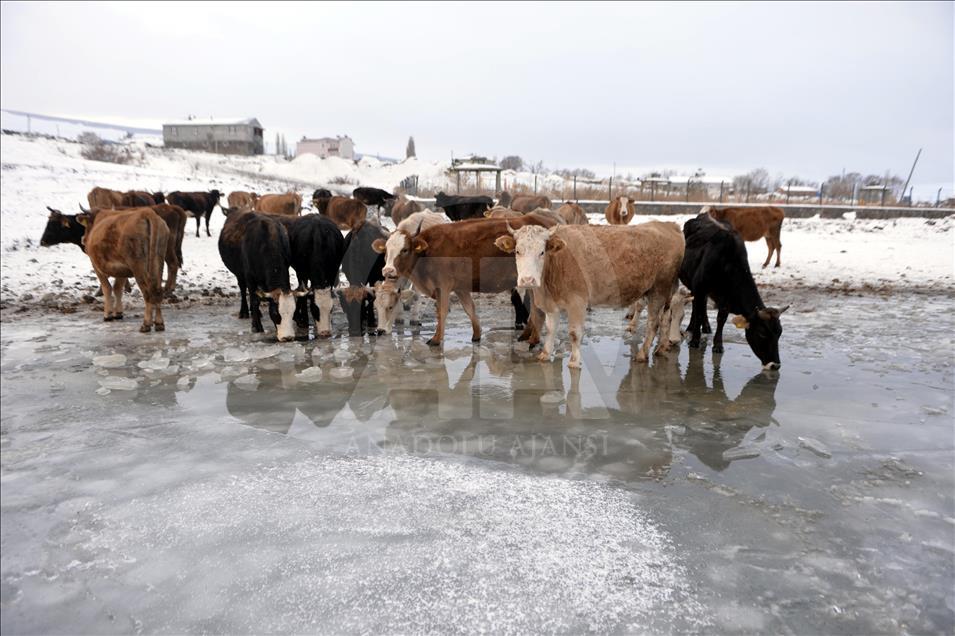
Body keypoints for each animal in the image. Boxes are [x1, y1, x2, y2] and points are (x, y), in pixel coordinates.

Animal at [43, 204, 187, 295]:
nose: (42, 241)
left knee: (173, 264)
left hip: (167, 249)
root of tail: (173, 208)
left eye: (53, 225)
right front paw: (126, 287)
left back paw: (168, 289)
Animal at [217, 210, 305, 341]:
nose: (287, 337)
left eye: (293, 312)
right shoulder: (249, 276)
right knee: (243, 289)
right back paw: (244, 312)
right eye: (276, 313)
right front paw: (256, 326)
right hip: (239, 274)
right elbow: (254, 300)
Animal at [372, 214, 558, 346]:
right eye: (386, 250)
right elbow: (470, 309)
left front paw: (436, 339)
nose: (388, 270)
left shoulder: (443, 286)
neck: (427, 252)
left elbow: (441, 312)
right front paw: (476, 335)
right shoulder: (460, 287)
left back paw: (533, 338)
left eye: (404, 249)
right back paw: (526, 335)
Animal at [494, 221, 684, 368]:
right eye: (517, 251)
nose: (528, 279)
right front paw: (545, 354)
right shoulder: (551, 304)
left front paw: (574, 361)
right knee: (666, 317)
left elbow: (574, 333)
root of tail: (668, 225)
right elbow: (551, 328)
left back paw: (643, 354)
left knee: (653, 323)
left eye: (542, 252)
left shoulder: (577, 302)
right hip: (668, 291)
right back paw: (661, 348)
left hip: (659, 290)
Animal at [680, 213, 788, 369]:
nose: (775, 365)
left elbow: (721, 319)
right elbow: (699, 313)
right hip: (693, 285)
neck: (726, 262)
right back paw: (692, 327)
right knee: (697, 307)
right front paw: (695, 341)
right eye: (762, 333)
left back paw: (706, 327)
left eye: (779, 332)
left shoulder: (726, 299)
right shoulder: (700, 288)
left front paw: (718, 345)